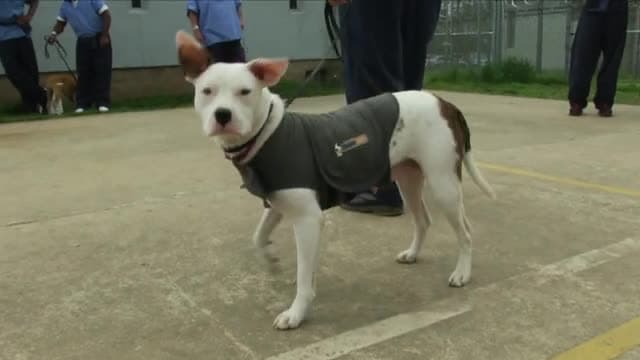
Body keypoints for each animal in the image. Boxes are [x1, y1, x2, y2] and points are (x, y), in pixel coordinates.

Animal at [176, 31, 500, 330]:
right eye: (207, 91)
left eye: (244, 92)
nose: (223, 115)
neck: (268, 133)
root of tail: (442, 101)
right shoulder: (277, 204)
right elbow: (257, 237)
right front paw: (270, 258)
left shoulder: (308, 220)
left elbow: (304, 276)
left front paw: (296, 313)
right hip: (408, 179)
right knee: (423, 220)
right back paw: (413, 254)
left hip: (443, 183)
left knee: (466, 232)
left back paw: (462, 273)